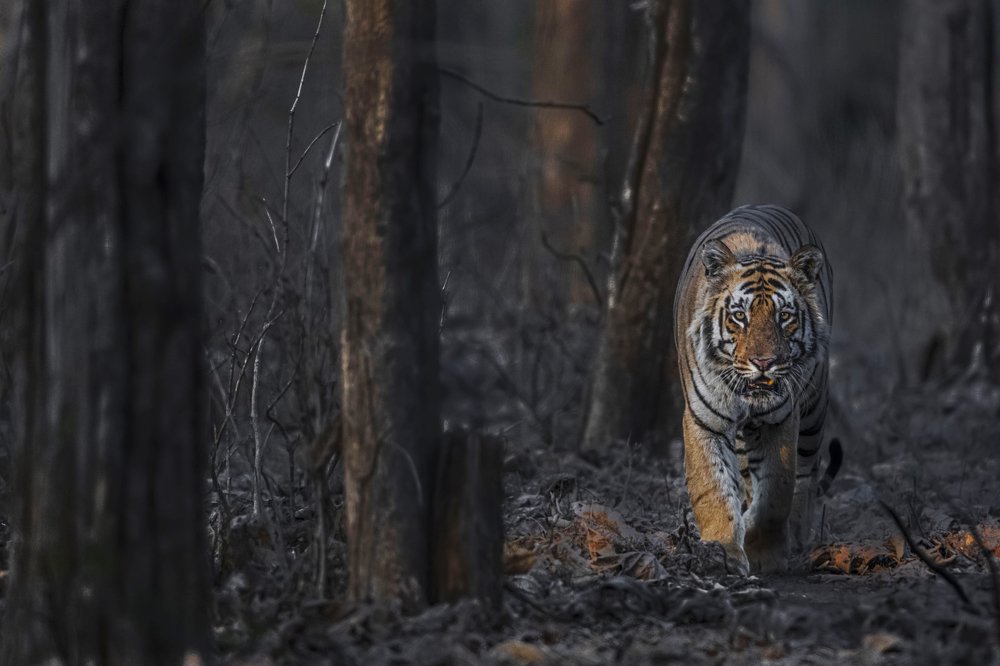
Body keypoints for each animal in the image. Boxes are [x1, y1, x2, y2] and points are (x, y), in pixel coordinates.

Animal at [673, 204, 834, 574]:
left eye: (784, 316)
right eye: (739, 316)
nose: (764, 362)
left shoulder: (781, 420)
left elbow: (777, 489)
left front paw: (764, 553)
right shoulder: (704, 420)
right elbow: (713, 488)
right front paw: (724, 552)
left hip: (814, 411)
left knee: (805, 476)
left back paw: (798, 538)